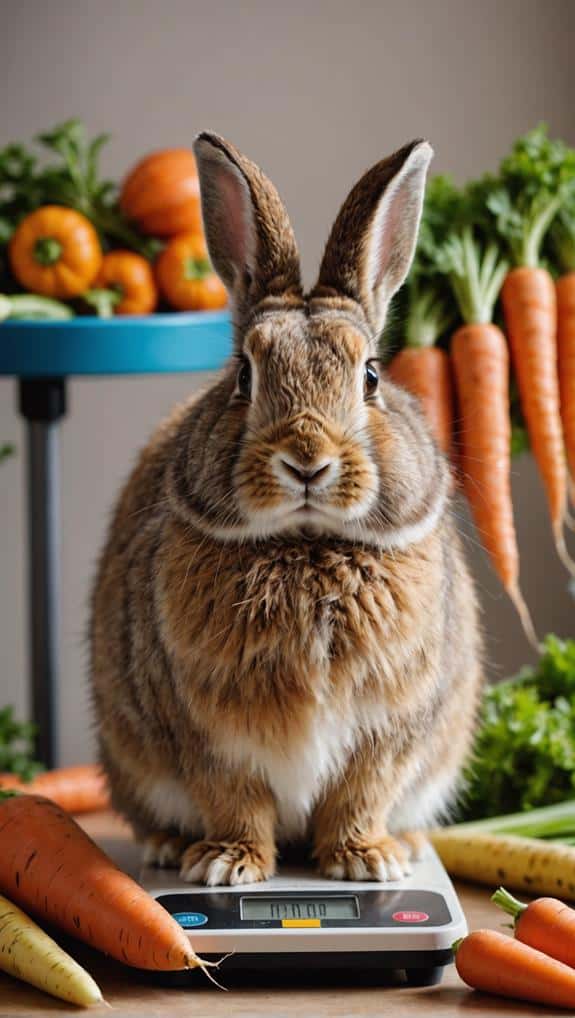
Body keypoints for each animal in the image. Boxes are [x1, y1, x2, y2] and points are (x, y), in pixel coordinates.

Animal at [90, 132, 483, 887]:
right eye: (244, 375)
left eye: (371, 377)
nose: (306, 460)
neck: (307, 547)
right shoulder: (207, 735)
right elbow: (234, 798)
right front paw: (226, 865)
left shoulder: (387, 733)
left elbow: (362, 792)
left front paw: (365, 862)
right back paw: (167, 847)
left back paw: (406, 846)